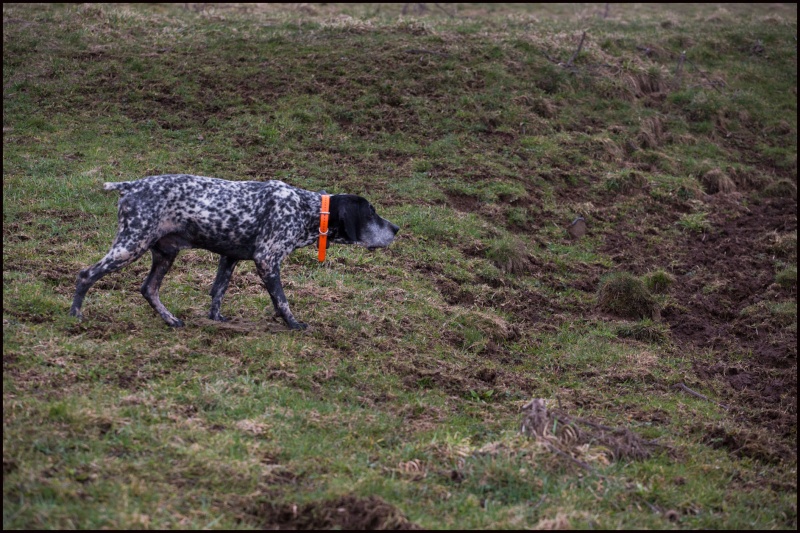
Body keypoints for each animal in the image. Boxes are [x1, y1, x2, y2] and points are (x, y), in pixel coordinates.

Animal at [67, 174, 398, 328]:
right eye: (371, 212)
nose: (396, 229)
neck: (308, 210)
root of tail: (131, 185)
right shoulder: (267, 261)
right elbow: (282, 301)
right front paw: (293, 324)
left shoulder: (231, 257)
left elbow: (218, 292)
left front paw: (216, 320)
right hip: (130, 246)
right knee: (86, 275)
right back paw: (75, 314)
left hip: (163, 254)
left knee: (148, 289)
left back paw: (170, 319)